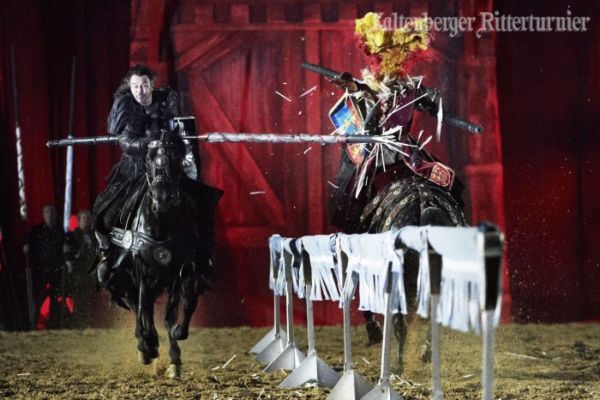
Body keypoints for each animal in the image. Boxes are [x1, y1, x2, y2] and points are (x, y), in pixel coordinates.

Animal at [102, 133, 216, 379]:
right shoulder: (142, 272)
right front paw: (149, 345)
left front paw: (176, 352)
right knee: (137, 307)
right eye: (149, 157)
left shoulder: (182, 270)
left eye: (175, 159)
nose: (162, 198)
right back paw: (145, 347)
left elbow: (182, 307)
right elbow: (144, 309)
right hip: (125, 279)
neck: (161, 222)